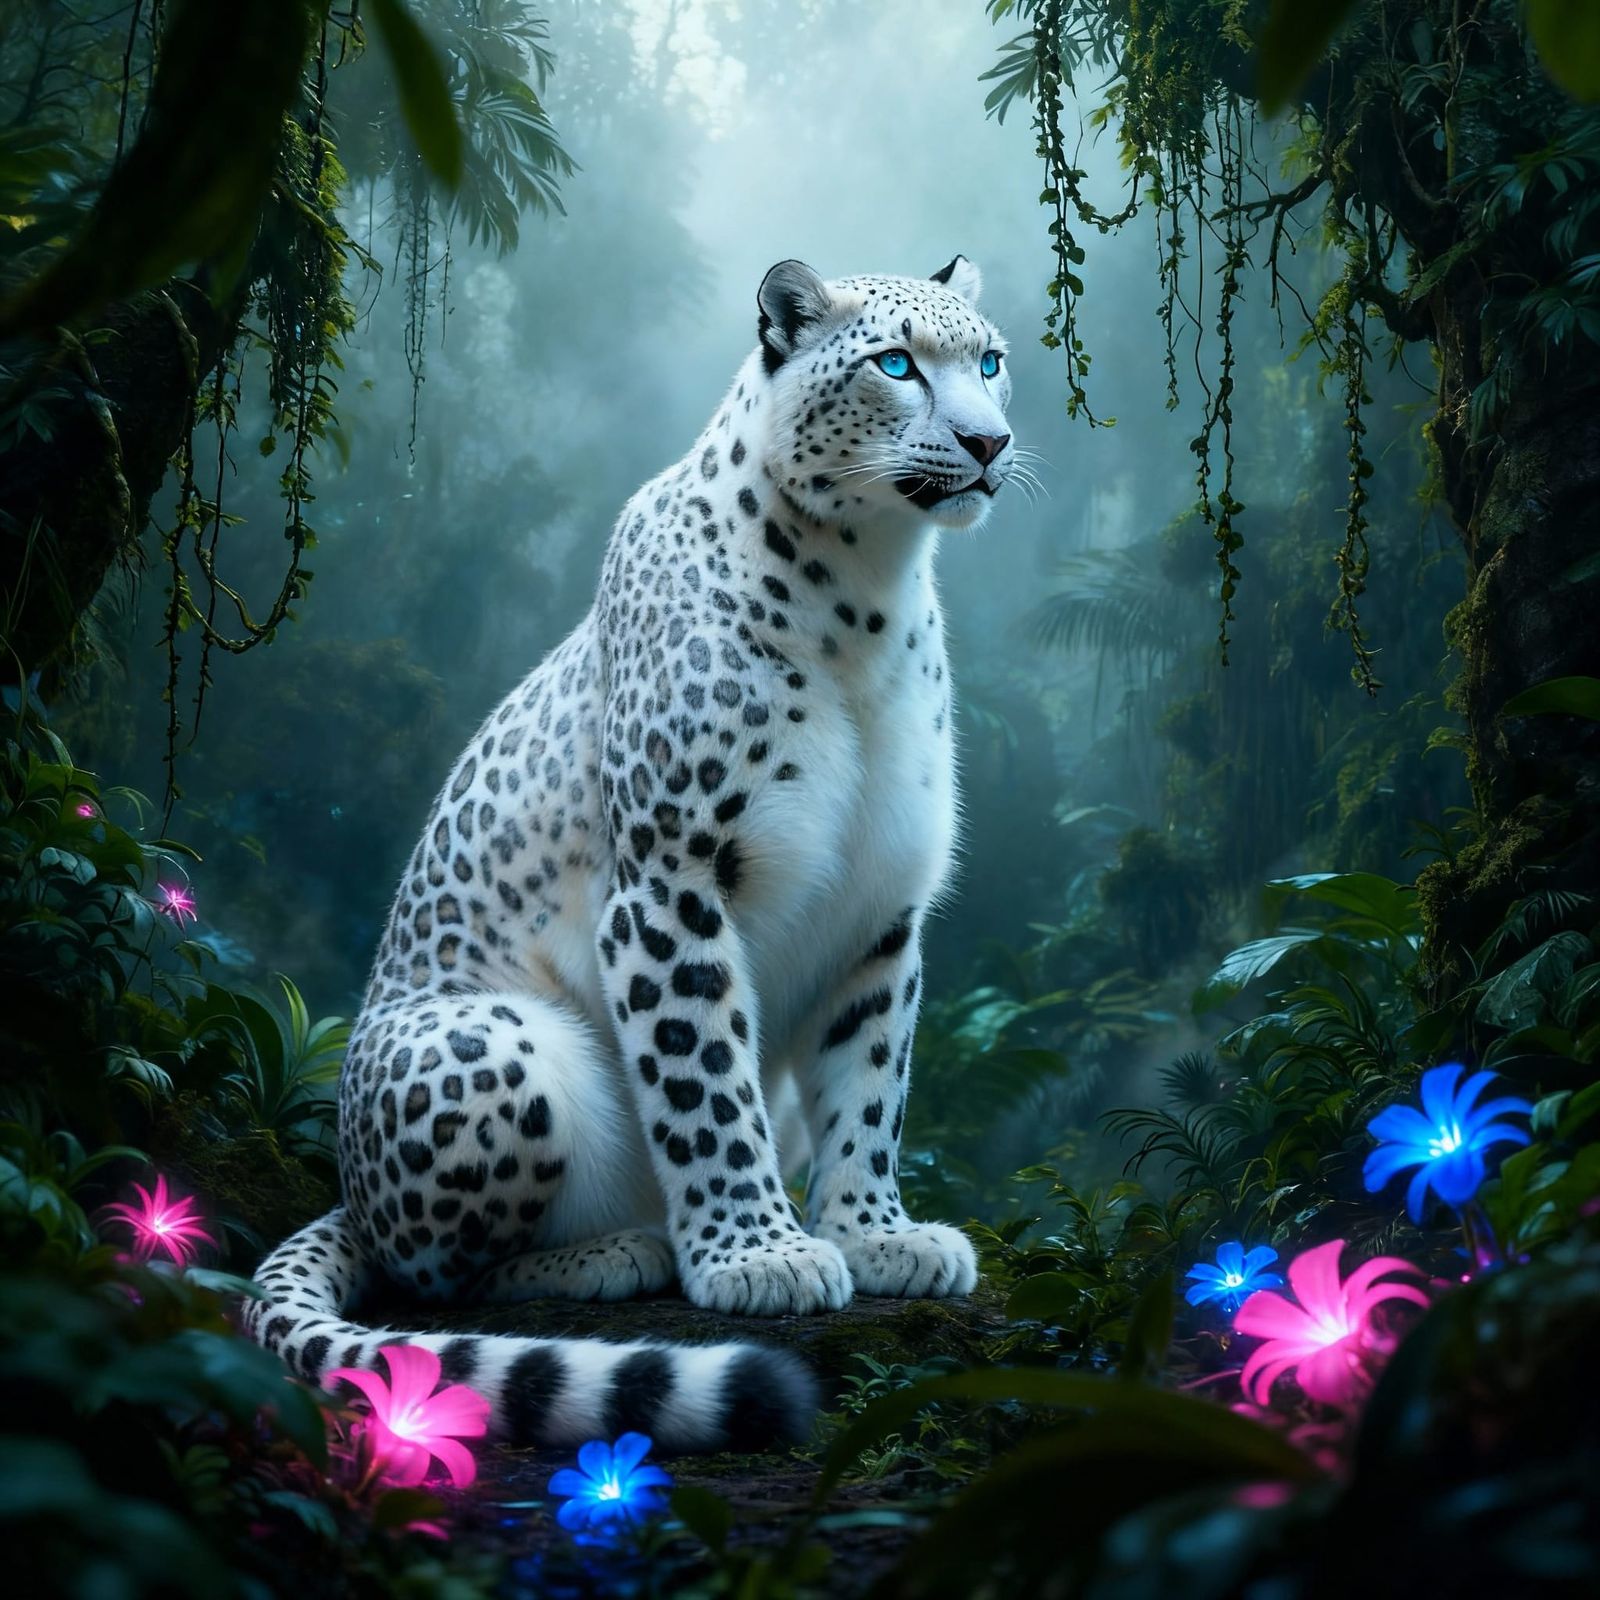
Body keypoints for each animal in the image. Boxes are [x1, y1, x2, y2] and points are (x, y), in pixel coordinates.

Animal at [245, 255, 1018, 1454]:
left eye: (988, 360)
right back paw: (619, 1251)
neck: (872, 598)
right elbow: (705, 1086)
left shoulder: (880, 915)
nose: (987, 442)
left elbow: (867, 1089)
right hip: (492, 1043)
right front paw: (760, 1255)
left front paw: (877, 1234)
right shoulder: (671, 883)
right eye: (896, 363)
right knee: (430, 1274)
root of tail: (345, 1185)